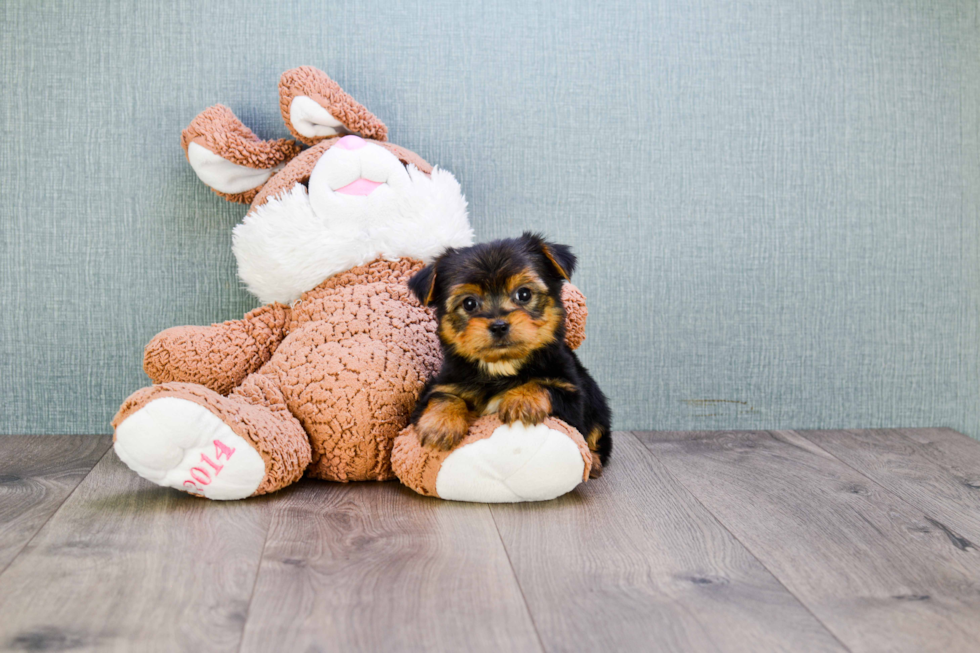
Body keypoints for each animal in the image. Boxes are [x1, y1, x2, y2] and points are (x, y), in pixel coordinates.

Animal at [408, 233, 612, 474]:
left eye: (524, 294)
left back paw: (595, 461)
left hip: (596, 402)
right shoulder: (442, 384)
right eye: (469, 303)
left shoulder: (572, 397)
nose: (498, 325)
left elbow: (544, 384)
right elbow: (442, 395)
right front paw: (440, 424)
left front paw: (522, 399)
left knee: (598, 433)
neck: (501, 366)